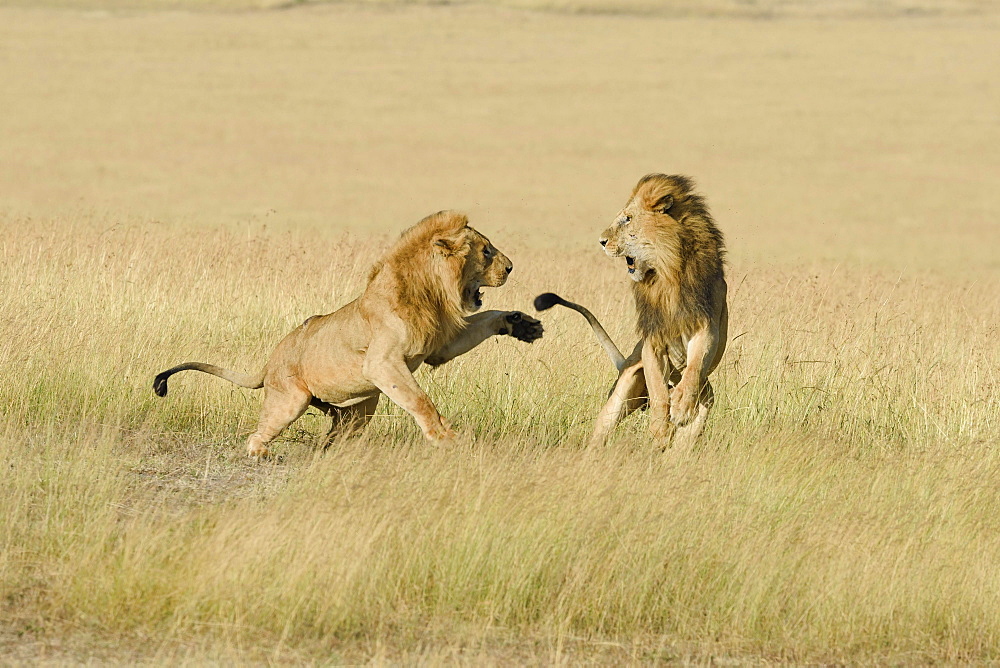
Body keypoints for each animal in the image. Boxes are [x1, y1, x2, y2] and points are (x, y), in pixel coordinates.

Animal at [153, 211, 544, 456]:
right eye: (487, 251)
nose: (511, 267)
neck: (430, 290)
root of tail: (270, 360)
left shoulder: (438, 347)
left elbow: (487, 317)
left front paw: (522, 323)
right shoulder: (382, 363)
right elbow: (421, 401)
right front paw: (444, 437)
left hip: (358, 410)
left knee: (335, 436)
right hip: (290, 400)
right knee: (257, 433)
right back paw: (261, 452)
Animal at [540, 175, 728, 452]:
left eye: (627, 219)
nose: (601, 241)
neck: (668, 273)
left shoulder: (706, 327)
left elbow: (694, 366)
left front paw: (681, 406)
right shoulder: (653, 340)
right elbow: (658, 388)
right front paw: (660, 428)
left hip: (704, 403)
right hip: (621, 393)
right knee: (602, 432)